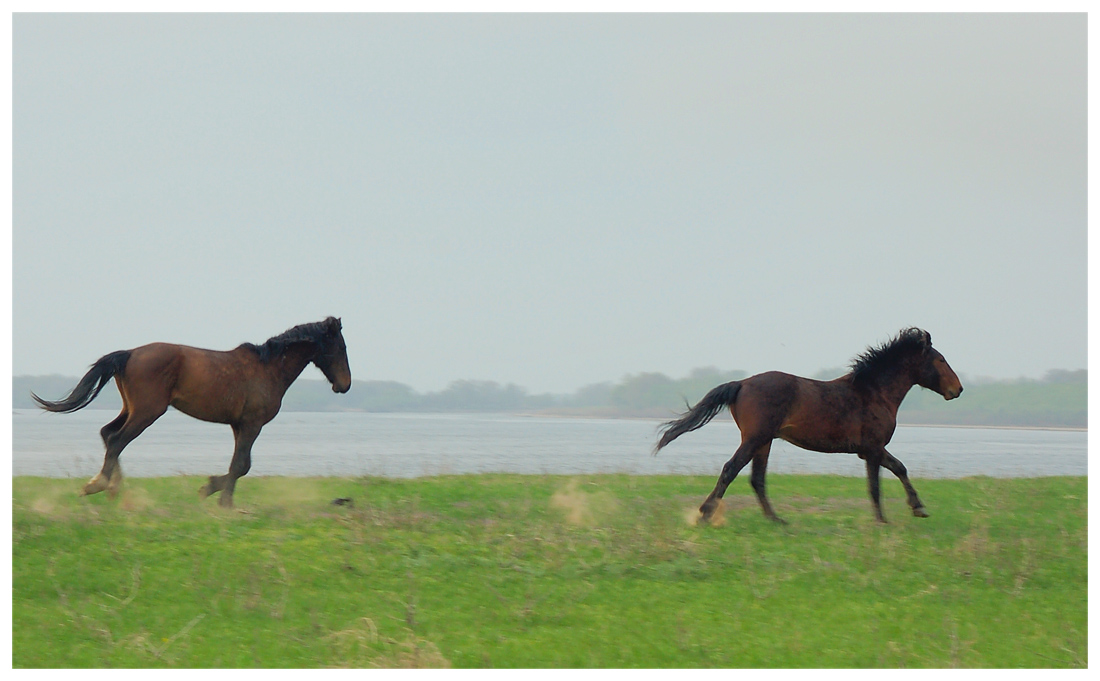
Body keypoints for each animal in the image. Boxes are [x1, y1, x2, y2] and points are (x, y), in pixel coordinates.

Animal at [32, 314, 352, 506]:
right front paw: (222, 501)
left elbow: (241, 465)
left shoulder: (239, 425)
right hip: (147, 411)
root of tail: (130, 354)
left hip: (132, 408)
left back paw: (113, 489)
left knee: (107, 433)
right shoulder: (252, 424)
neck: (268, 369)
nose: (345, 385)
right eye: (340, 348)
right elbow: (240, 464)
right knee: (116, 440)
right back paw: (99, 485)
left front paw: (211, 489)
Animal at [651, 327, 963, 525]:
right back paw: (705, 514)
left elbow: (900, 468)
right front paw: (882, 521)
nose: (957, 389)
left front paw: (918, 507)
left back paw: (776, 519)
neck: (874, 392)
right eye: (940, 359)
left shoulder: (869, 450)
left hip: (764, 442)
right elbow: (875, 486)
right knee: (731, 470)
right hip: (755, 439)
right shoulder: (873, 449)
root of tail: (741, 384)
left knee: (757, 479)